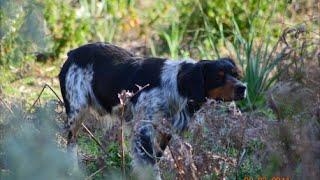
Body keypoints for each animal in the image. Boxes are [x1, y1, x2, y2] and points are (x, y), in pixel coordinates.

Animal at [58, 41, 246, 177]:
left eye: (236, 74)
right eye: (218, 77)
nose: (243, 87)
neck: (177, 87)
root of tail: (73, 52)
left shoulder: (164, 131)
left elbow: (155, 159)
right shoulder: (143, 130)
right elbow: (151, 165)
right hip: (77, 112)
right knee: (71, 143)